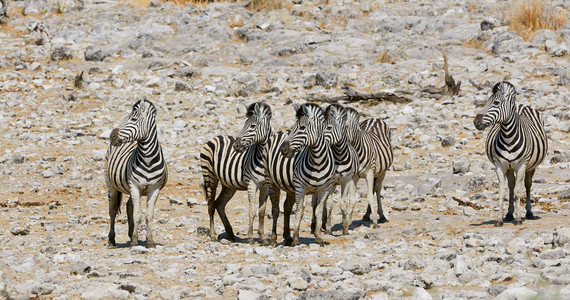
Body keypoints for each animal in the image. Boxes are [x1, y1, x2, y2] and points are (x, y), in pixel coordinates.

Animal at [105, 99, 168, 247]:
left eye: (133, 119)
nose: (112, 136)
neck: (148, 160)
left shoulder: (154, 189)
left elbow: (148, 215)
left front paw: (150, 241)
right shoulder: (135, 186)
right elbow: (137, 214)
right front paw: (134, 241)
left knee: (129, 206)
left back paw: (130, 234)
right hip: (111, 185)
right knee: (112, 210)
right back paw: (111, 239)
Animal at [199, 102, 272, 244]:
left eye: (253, 126)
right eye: (244, 124)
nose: (236, 146)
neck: (261, 156)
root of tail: (216, 137)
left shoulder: (265, 186)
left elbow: (262, 211)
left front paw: (263, 237)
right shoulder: (252, 184)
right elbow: (252, 210)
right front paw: (250, 237)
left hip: (229, 185)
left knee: (219, 204)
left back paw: (230, 234)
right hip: (210, 176)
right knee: (211, 205)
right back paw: (212, 235)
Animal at [264, 103, 336, 246]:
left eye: (302, 128)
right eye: (293, 128)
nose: (283, 150)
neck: (318, 162)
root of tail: (280, 131)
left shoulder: (325, 188)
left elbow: (319, 210)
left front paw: (318, 237)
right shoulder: (300, 187)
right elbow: (299, 211)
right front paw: (296, 239)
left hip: (290, 187)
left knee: (286, 207)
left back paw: (287, 237)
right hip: (272, 182)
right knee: (275, 210)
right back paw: (274, 239)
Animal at [318, 104, 358, 236]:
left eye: (329, 128)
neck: (339, 156)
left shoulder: (346, 181)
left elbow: (343, 204)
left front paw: (345, 228)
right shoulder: (331, 182)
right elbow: (329, 204)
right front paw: (328, 229)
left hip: (351, 180)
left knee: (350, 200)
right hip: (334, 183)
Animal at [470, 81, 544, 226]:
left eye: (496, 103)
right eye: (486, 102)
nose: (476, 122)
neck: (508, 137)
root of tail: (521, 105)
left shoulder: (521, 165)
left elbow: (518, 191)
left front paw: (518, 218)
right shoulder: (499, 166)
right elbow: (503, 192)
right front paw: (499, 219)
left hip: (531, 167)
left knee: (527, 185)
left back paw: (528, 212)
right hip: (510, 168)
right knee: (511, 186)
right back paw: (509, 214)